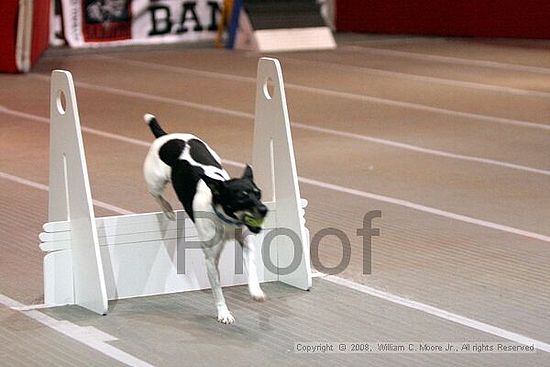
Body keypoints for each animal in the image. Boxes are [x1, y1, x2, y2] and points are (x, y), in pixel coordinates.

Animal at [144, 114, 270, 324]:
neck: (226, 219)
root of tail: (165, 136)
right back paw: (168, 210)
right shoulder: (211, 260)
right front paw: (223, 313)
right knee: (156, 195)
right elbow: (217, 290)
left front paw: (256, 291)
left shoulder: (246, 243)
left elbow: (251, 269)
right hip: (154, 181)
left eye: (258, 193)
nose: (264, 209)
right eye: (241, 197)